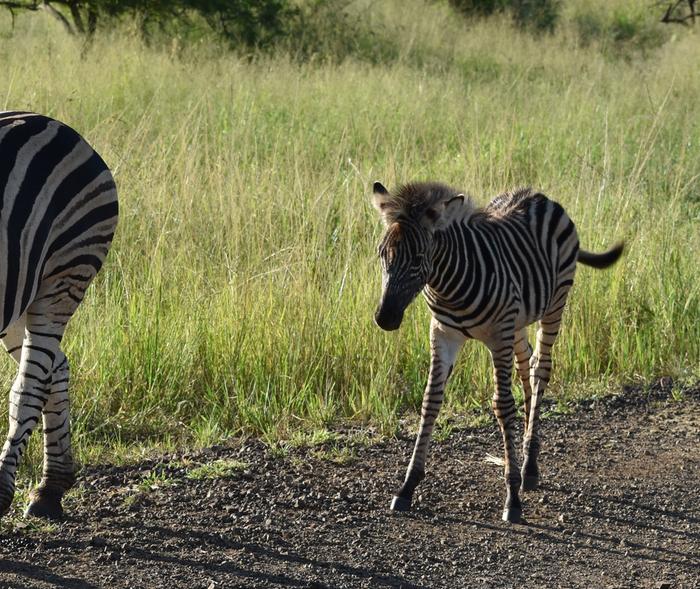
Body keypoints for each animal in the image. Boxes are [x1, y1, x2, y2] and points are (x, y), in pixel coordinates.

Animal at [372, 181, 624, 520]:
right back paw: (527, 462)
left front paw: (512, 498)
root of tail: (538, 195)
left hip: (554, 304)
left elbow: (502, 405)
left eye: (418, 258)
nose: (385, 318)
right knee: (526, 364)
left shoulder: (498, 335)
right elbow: (430, 401)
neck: (448, 286)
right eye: (382, 254)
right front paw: (408, 485)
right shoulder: (443, 333)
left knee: (541, 367)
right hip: (518, 321)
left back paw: (528, 467)